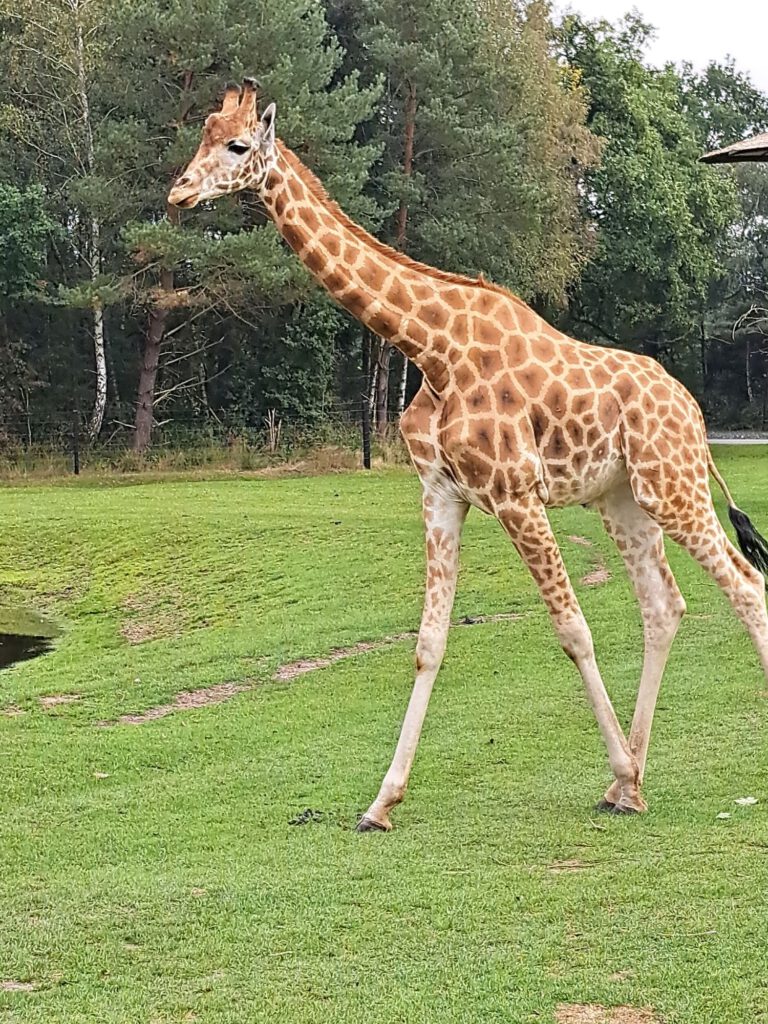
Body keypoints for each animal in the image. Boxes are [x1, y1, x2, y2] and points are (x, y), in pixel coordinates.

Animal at [169, 80, 768, 830]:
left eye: (237, 145)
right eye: (199, 134)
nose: (179, 192)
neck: (430, 348)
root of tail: (692, 410)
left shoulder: (515, 494)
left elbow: (573, 629)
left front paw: (623, 770)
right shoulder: (441, 494)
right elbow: (429, 643)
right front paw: (381, 802)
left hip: (672, 485)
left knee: (746, 587)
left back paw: (638, 773)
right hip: (622, 499)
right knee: (665, 605)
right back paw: (624, 790)